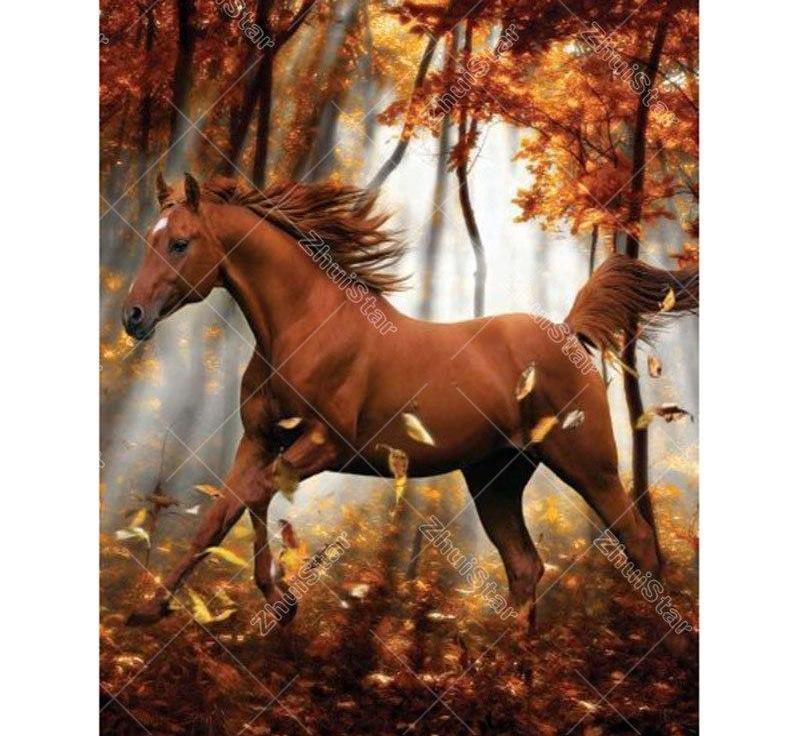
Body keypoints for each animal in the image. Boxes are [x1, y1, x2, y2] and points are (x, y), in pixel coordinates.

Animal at [121, 172, 698, 650]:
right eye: (150, 239)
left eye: (180, 242)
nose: (133, 317)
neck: (305, 328)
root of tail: (568, 331)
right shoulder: (259, 440)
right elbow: (220, 516)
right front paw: (152, 609)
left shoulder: (324, 445)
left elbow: (252, 496)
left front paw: (281, 601)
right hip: (495, 480)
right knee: (524, 566)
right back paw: (505, 669)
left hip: (588, 465)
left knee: (638, 541)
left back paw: (660, 653)